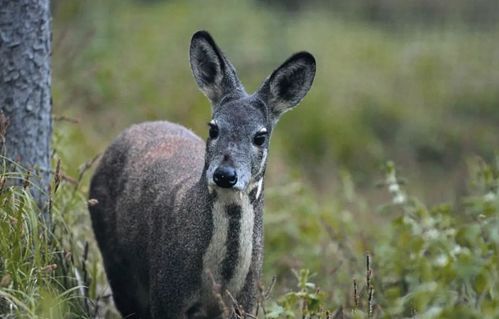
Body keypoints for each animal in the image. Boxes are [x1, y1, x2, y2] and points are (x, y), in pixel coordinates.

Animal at [89, 30, 316, 319]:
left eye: (260, 136)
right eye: (213, 128)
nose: (225, 174)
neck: (218, 279)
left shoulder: (247, 300)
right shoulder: (166, 291)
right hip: (115, 261)